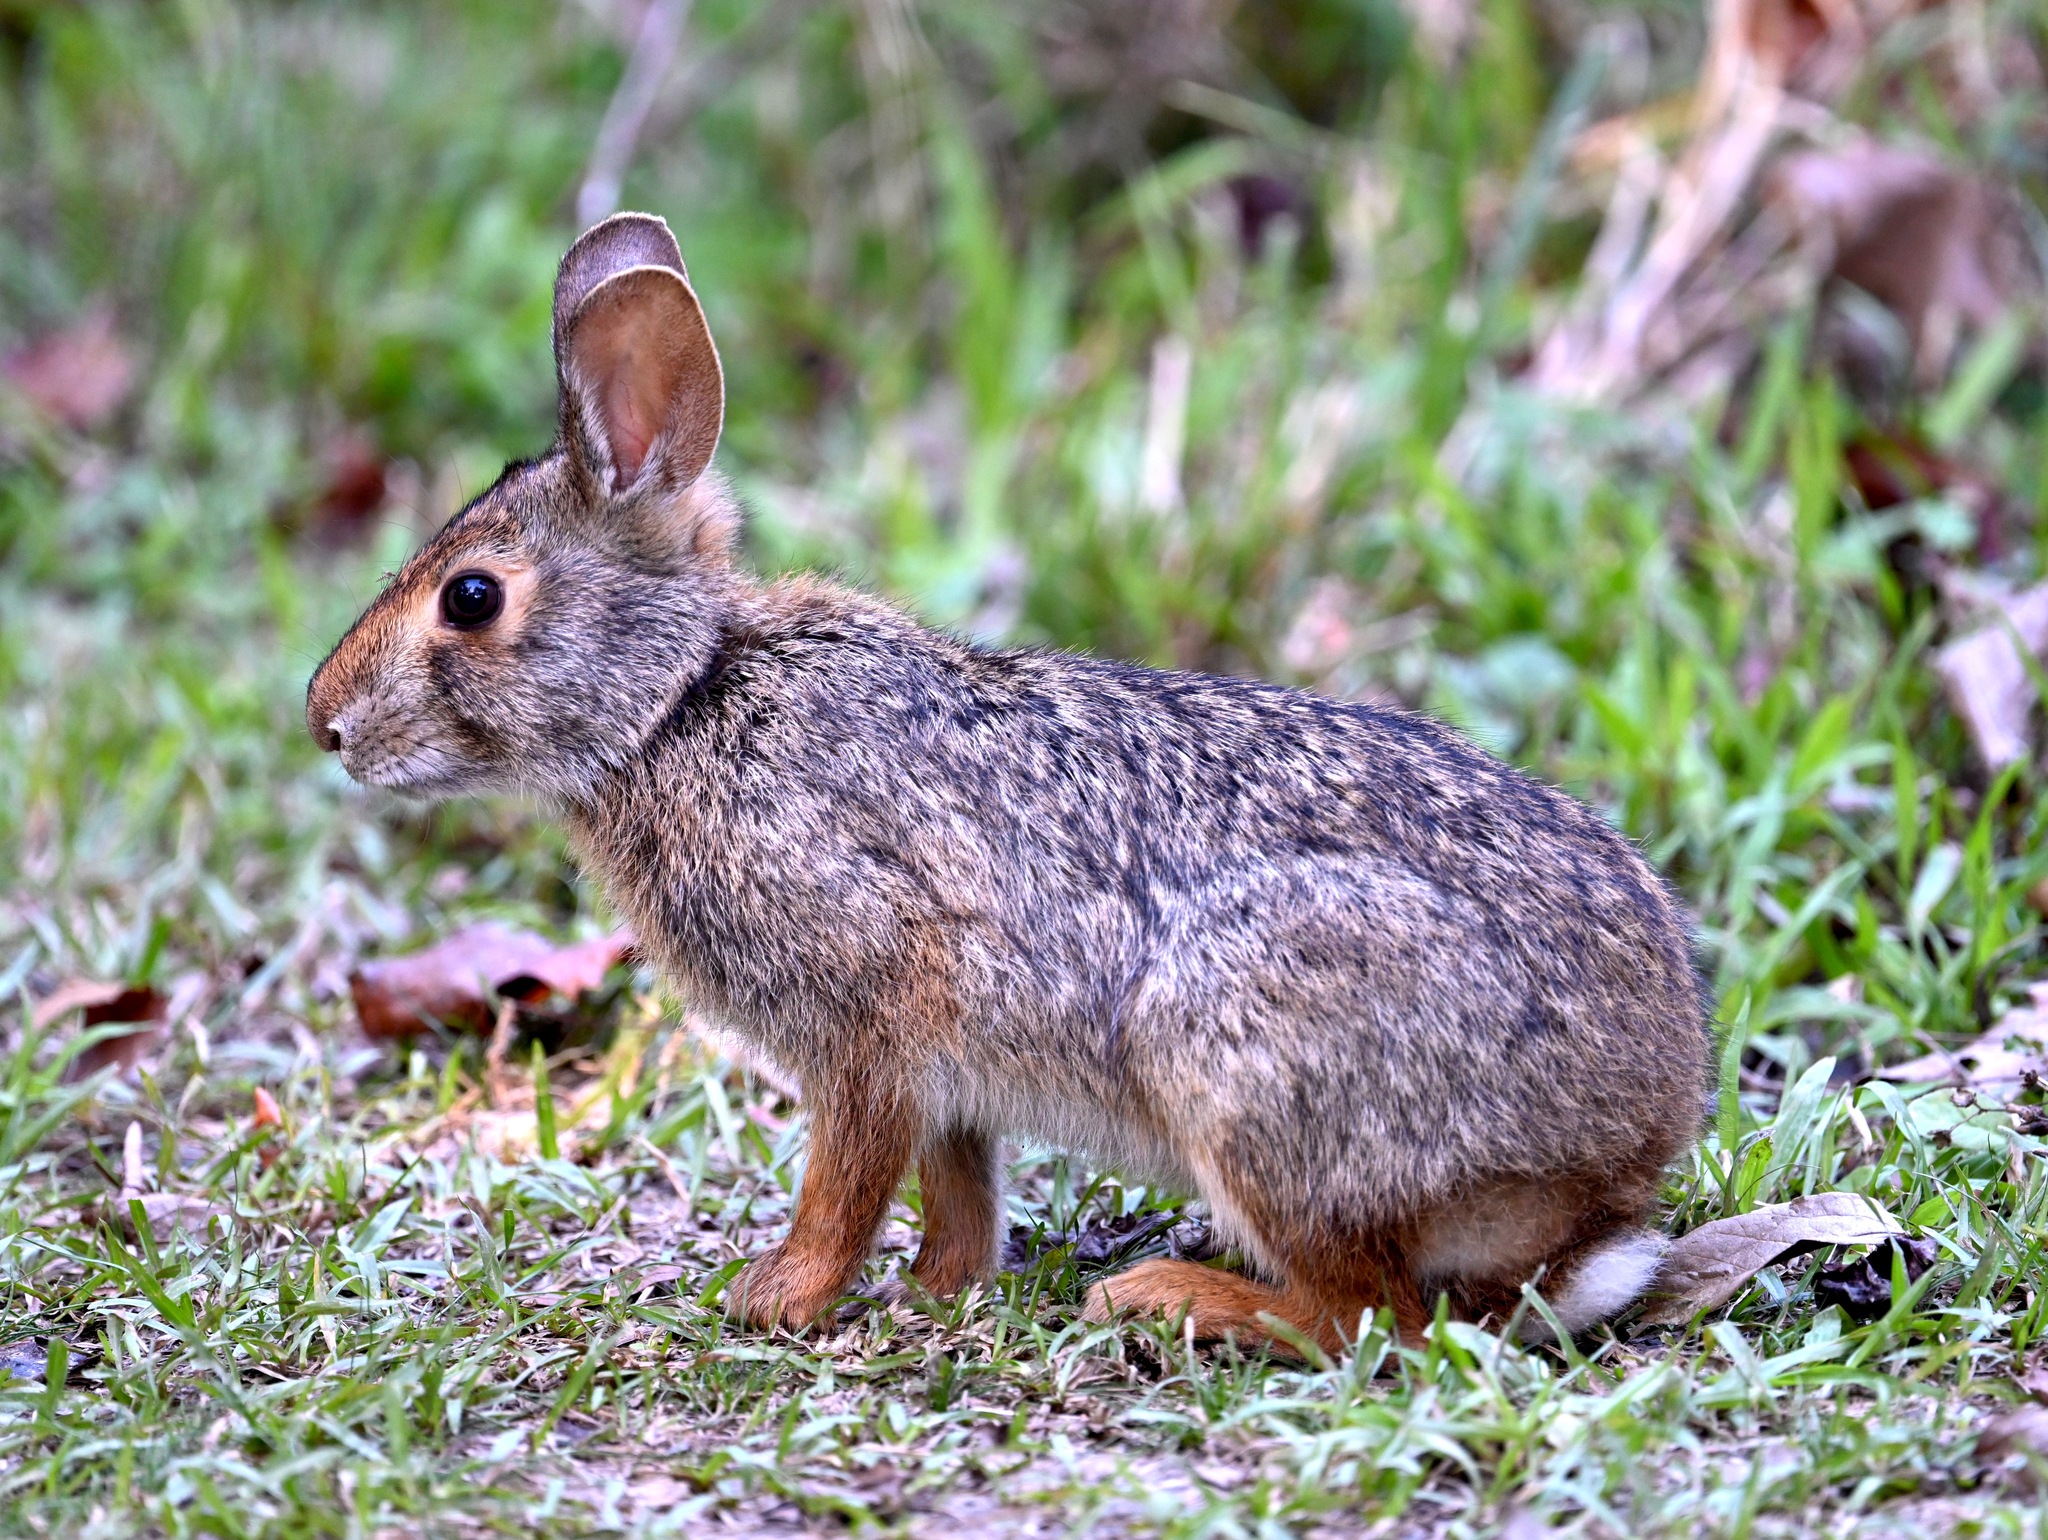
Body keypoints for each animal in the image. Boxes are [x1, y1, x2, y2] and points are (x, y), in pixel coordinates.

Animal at [307, 212, 1710, 1351]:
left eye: (470, 598)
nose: (325, 723)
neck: (681, 701)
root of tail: (1605, 1172)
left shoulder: (866, 1013)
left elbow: (847, 1176)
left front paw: (777, 1297)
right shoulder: (945, 1071)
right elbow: (957, 1180)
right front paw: (939, 1290)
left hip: (1245, 1053)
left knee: (1371, 1318)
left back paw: (1168, 1298)